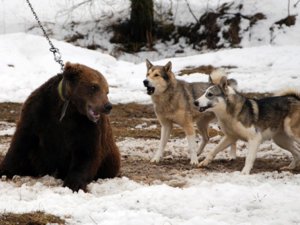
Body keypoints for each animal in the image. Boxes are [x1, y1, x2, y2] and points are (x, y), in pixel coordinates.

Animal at [0, 62, 120, 192]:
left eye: (107, 91)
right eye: (94, 86)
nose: (108, 106)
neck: (70, 107)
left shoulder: (86, 125)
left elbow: (87, 152)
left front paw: (74, 183)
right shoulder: (38, 112)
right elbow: (21, 141)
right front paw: (4, 170)